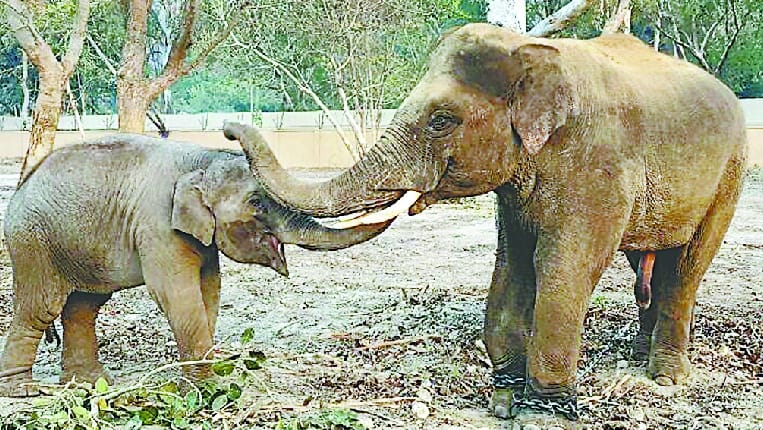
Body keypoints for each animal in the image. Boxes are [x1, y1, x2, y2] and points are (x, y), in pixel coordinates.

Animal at [0, 135, 389, 397]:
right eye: (257, 202)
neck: (201, 159)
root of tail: (20, 188)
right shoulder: (157, 224)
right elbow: (176, 291)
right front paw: (205, 387)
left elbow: (210, 288)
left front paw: (207, 377)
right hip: (33, 242)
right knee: (41, 307)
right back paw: (23, 391)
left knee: (84, 306)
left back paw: (90, 384)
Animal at [222, 23, 748, 426]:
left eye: (441, 120)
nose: (228, 128)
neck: (529, 51)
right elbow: (512, 263)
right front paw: (503, 401)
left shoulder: (600, 167)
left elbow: (563, 267)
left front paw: (545, 412)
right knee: (648, 262)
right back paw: (639, 358)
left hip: (731, 174)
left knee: (685, 268)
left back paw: (666, 378)